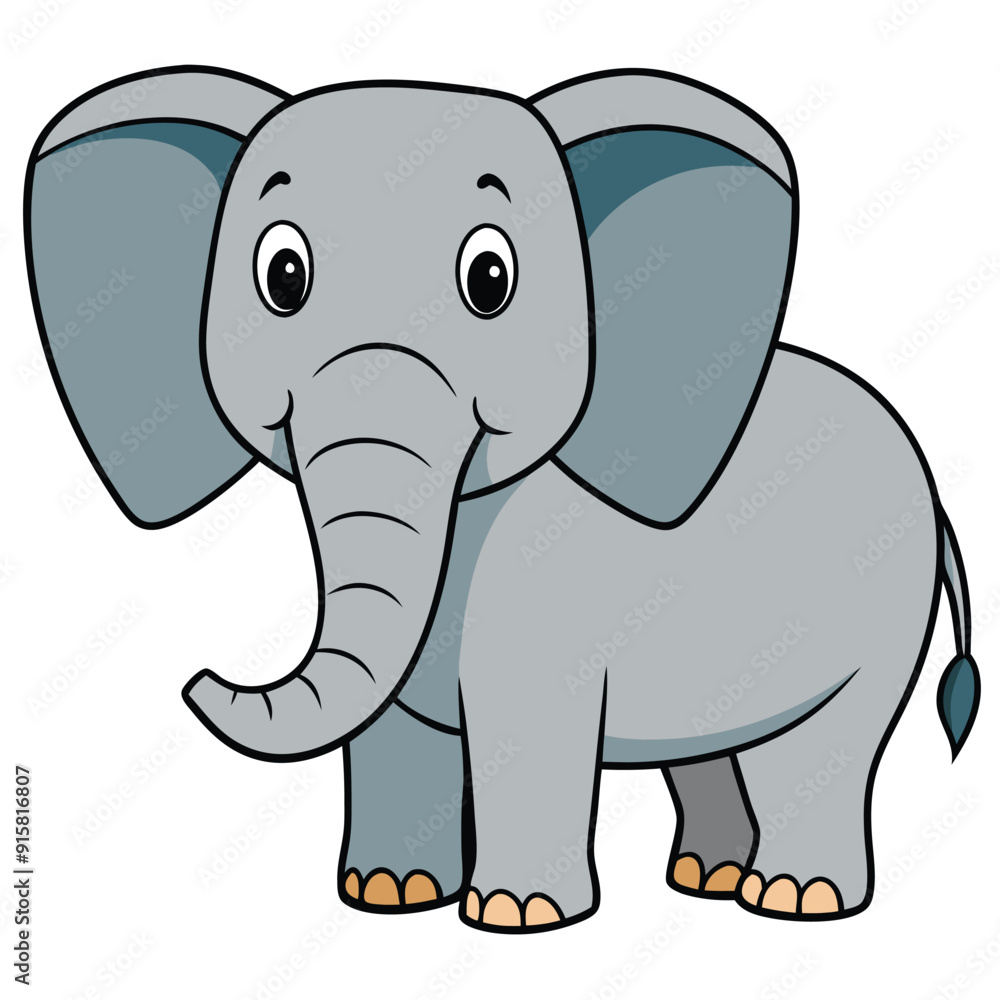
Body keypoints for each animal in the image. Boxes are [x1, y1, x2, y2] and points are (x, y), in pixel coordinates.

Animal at [26, 66, 981, 932]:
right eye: (282, 276)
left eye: (490, 278)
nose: (197, 679)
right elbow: (392, 727)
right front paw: (388, 895)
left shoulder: (546, 590)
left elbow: (524, 723)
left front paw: (518, 917)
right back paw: (704, 881)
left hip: (878, 608)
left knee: (828, 746)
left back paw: (791, 900)